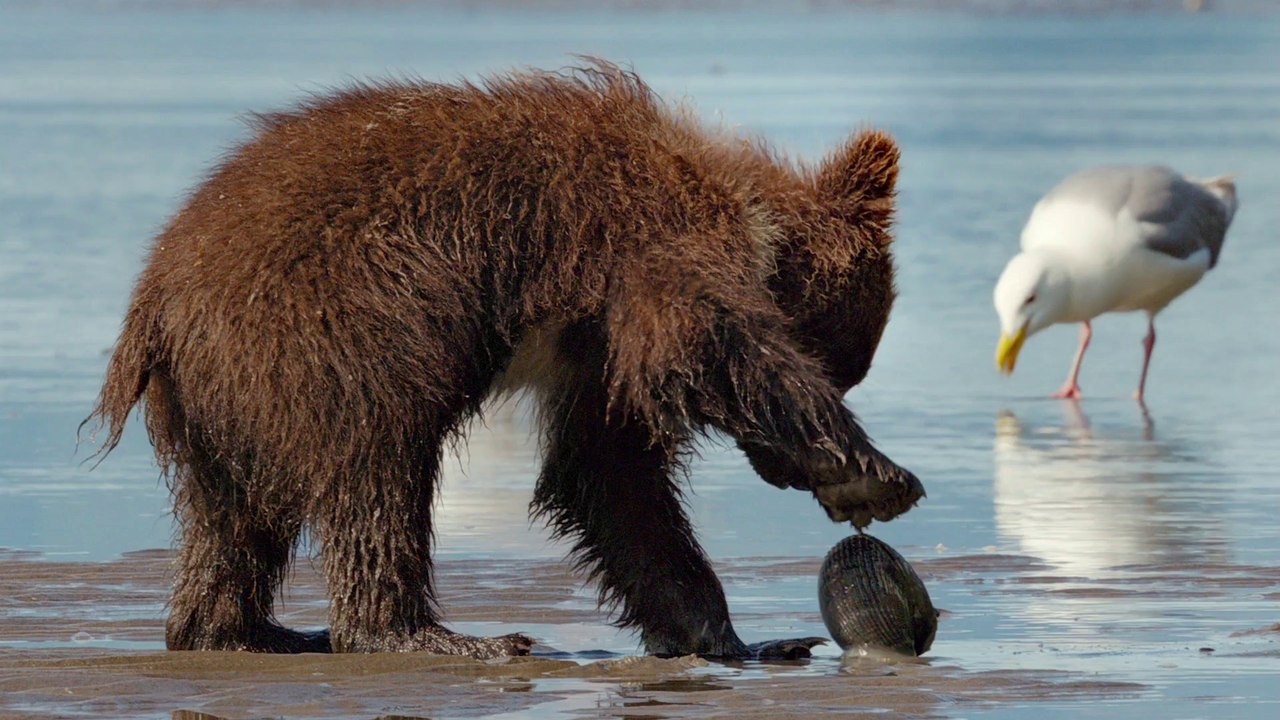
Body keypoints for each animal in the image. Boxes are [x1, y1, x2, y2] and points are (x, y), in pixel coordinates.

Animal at [84, 60, 924, 660]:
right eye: (844, 365)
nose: (780, 475)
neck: (753, 224)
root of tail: (156, 296)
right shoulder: (645, 247)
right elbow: (711, 351)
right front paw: (869, 471)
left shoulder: (592, 348)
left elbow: (614, 478)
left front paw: (738, 637)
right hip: (337, 329)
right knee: (378, 470)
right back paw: (434, 635)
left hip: (224, 395)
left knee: (232, 518)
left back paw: (241, 629)